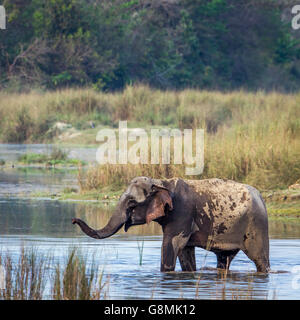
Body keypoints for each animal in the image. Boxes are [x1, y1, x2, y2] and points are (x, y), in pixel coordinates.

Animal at [72, 178, 270, 272]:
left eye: (132, 204)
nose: (74, 220)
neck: (161, 182)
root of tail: (261, 197)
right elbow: (184, 251)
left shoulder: (182, 213)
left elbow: (171, 245)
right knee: (224, 259)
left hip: (256, 225)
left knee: (260, 259)